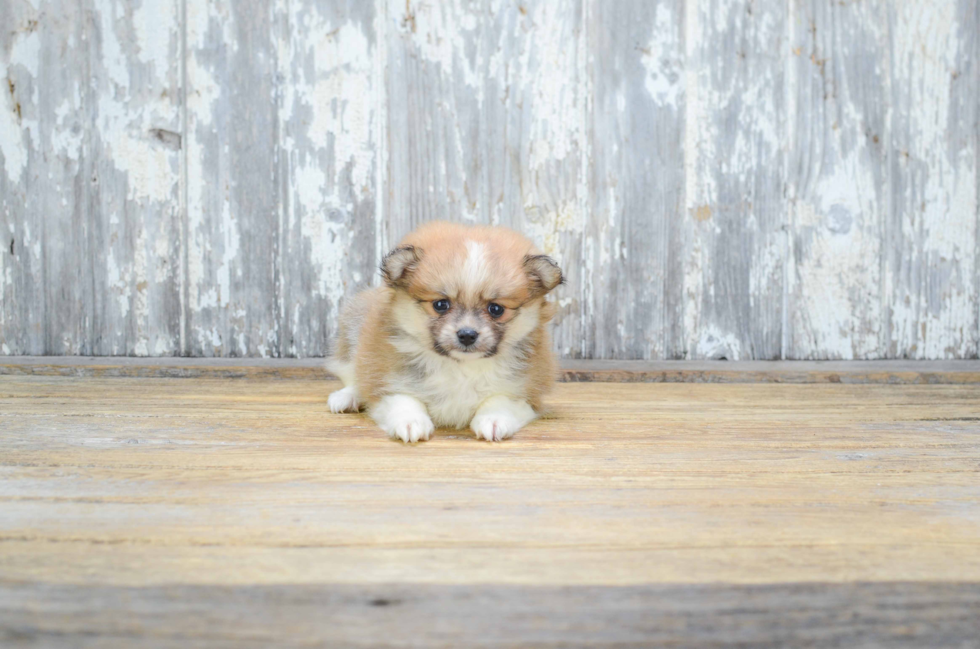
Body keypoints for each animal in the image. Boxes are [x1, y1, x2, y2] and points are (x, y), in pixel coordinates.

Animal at [328, 221, 564, 440]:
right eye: (441, 304)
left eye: (496, 309)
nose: (467, 334)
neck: (460, 366)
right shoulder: (384, 377)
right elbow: (402, 398)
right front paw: (410, 421)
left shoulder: (528, 390)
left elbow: (502, 399)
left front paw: (493, 419)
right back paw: (347, 397)